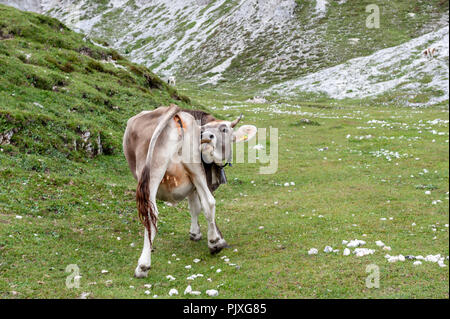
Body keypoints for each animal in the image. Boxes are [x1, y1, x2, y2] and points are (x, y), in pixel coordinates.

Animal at [123, 104, 256, 278]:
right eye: (204, 129)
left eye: (224, 129)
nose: (206, 137)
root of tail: (175, 113)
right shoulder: (198, 181)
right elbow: (196, 206)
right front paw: (203, 234)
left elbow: (194, 206)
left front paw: (197, 233)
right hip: (194, 168)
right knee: (209, 202)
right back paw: (214, 244)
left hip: (153, 171)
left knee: (151, 214)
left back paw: (143, 265)